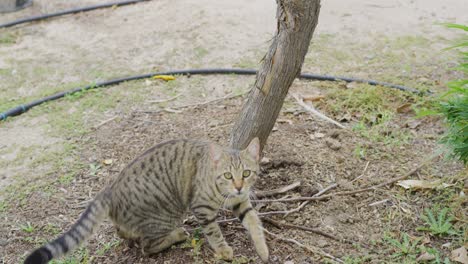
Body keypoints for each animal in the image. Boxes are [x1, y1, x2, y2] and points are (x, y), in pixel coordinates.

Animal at [23, 138, 268, 264]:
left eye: (246, 173)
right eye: (227, 175)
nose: (239, 186)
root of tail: (110, 189)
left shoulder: (241, 201)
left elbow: (254, 223)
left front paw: (263, 250)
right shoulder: (202, 208)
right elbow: (214, 232)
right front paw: (224, 250)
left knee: (125, 232)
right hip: (165, 215)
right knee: (147, 247)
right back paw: (177, 235)